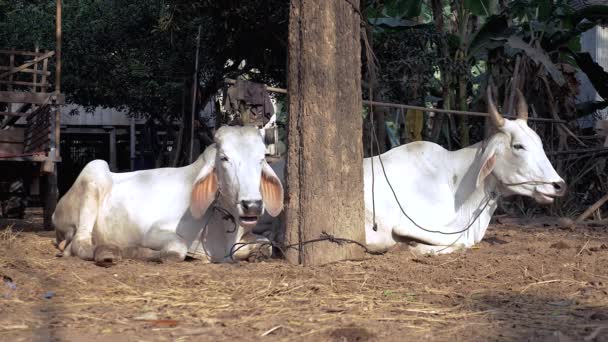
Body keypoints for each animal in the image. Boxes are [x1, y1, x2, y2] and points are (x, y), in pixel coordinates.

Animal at [51, 124, 284, 264]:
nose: (252, 205)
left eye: (262, 158)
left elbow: (267, 244)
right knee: (80, 244)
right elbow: (176, 250)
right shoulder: (153, 232)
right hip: (95, 170)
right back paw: (109, 251)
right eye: (225, 158)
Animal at [258, 88, 568, 254]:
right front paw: (417, 249)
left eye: (539, 142)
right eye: (518, 146)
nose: (559, 185)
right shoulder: (403, 223)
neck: (459, 186)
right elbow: (456, 243)